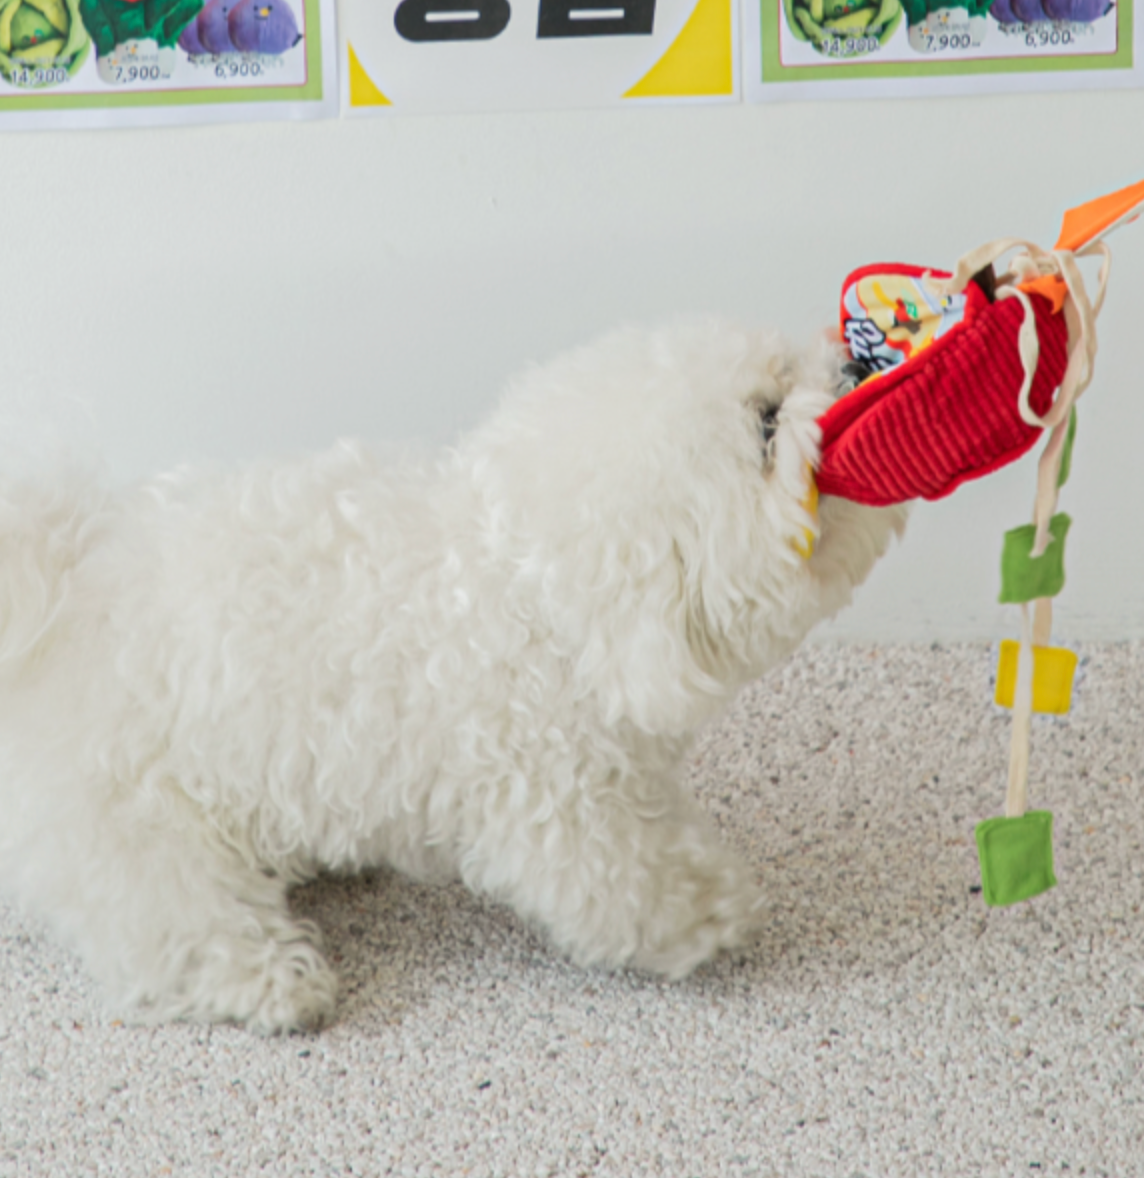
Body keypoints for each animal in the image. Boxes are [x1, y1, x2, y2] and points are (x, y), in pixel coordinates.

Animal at [0, 320, 904, 1031]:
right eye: (764, 425)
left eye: (785, 364)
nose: (850, 366)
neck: (534, 590)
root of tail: (64, 586)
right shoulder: (554, 805)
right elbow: (630, 888)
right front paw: (713, 910)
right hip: (137, 821)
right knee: (169, 922)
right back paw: (272, 982)